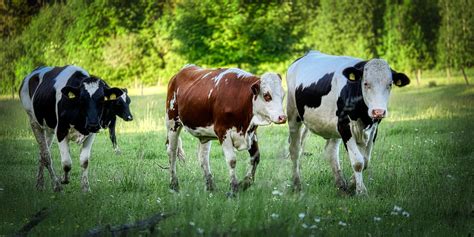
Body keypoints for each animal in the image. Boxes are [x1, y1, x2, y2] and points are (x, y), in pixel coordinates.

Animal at [166, 64, 286, 194]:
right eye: (267, 95)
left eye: (283, 95)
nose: (283, 117)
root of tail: (181, 71)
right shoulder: (223, 131)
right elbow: (232, 160)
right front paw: (233, 189)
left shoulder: (252, 133)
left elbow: (255, 157)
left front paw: (245, 183)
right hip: (172, 122)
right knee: (172, 152)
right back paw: (174, 185)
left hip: (203, 133)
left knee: (203, 157)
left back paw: (210, 187)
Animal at [286, 51, 410, 195]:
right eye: (366, 83)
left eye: (389, 84)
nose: (378, 111)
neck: (363, 115)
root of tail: (309, 53)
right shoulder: (344, 126)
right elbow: (358, 162)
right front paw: (361, 191)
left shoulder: (373, 128)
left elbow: (365, 160)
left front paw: (352, 184)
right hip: (293, 116)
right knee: (295, 150)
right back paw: (297, 185)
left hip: (332, 127)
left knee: (331, 151)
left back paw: (340, 184)